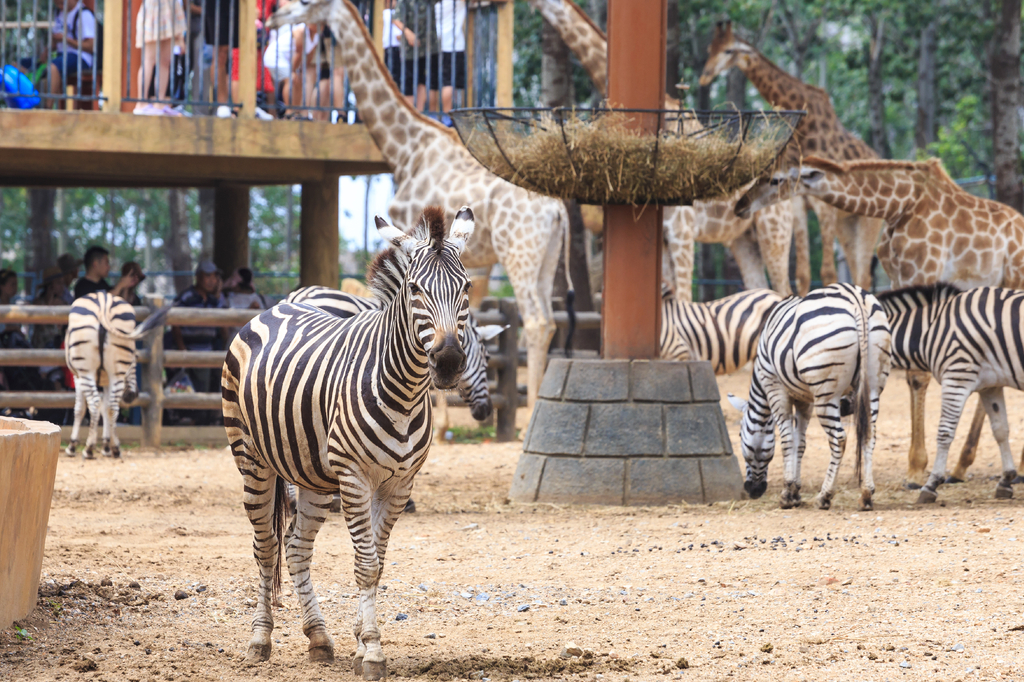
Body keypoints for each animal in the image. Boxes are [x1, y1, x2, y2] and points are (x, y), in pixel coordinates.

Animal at [64, 292, 169, 459]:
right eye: (135, 359)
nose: (132, 396)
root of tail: (103, 301)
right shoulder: (106, 379)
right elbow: (105, 408)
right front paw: (108, 446)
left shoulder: (78, 377)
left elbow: (80, 409)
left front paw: (72, 446)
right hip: (117, 370)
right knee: (112, 407)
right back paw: (114, 449)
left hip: (86, 370)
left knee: (94, 403)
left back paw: (88, 449)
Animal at [221, 206, 475, 679]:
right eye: (415, 289)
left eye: (466, 287)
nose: (449, 361)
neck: (405, 392)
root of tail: (280, 304)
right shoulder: (356, 477)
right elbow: (366, 564)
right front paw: (372, 649)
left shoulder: (399, 484)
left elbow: (377, 560)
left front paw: (359, 642)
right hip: (252, 459)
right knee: (266, 547)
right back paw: (260, 640)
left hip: (314, 474)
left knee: (296, 547)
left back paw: (319, 638)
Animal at [727, 284, 892, 511]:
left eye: (739, 436)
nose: (754, 490)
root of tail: (855, 297)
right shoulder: (805, 400)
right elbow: (800, 443)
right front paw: (796, 492)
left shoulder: (775, 388)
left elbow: (787, 441)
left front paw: (787, 494)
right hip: (873, 386)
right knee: (869, 435)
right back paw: (866, 495)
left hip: (826, 393)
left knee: (839, 439)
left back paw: (825, 496)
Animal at [877, 284, 1024, 503]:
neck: (930, 331)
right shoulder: (990, 386)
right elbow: (1000, 429)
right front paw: (1006, 480)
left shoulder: (957, 378)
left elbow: (944, 432)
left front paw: (931, 484)